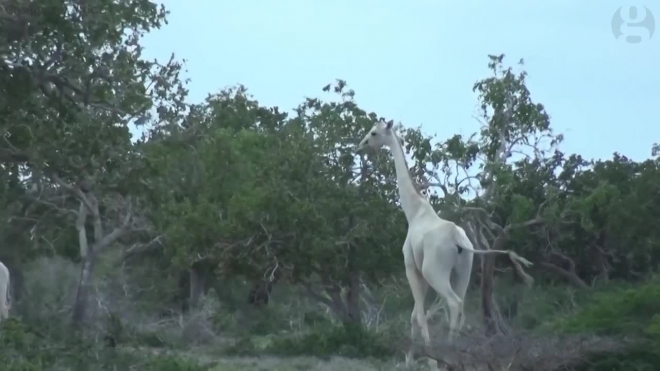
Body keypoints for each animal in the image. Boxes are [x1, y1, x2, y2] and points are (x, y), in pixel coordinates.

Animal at [358, 120, 532, 371]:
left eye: (373, 132)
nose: (360, 145)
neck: (414, 212)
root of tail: (458, 240)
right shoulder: (422, 274)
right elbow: (414, 315)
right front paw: (409, 361)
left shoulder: (411, 268)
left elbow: (420, 316)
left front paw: (427, 361)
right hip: (462, 272)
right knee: (459, 309)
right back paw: (454, 356)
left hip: (436, 272)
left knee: (454, 304)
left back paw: (446, 357)